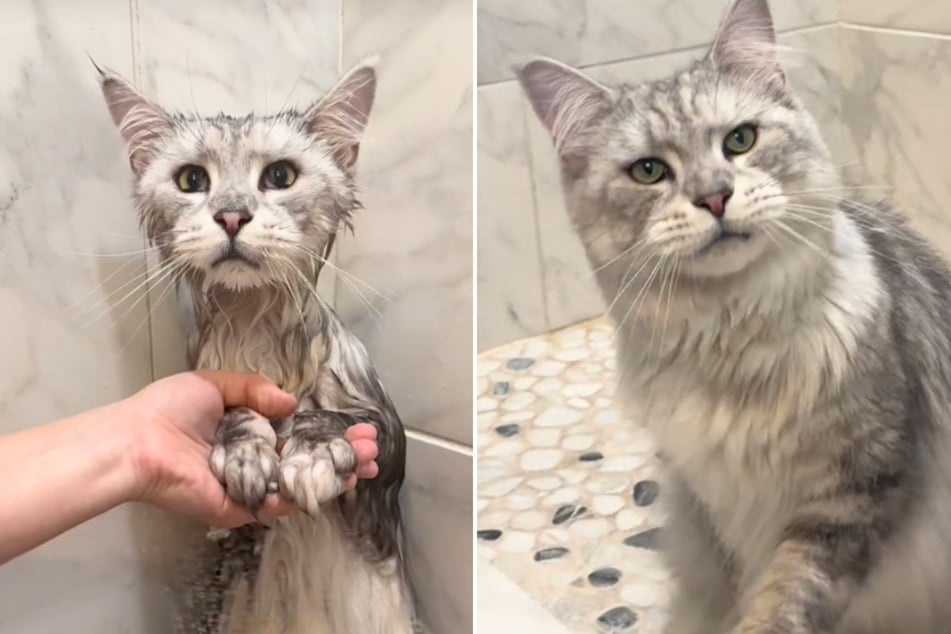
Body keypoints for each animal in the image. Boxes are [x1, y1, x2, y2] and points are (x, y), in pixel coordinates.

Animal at [97, 59, 420, 632]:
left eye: (280, 177)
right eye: (192, 180)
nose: (230, 215)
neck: (257, 335)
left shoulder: (384, 466)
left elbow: (338, 418)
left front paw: (313, 452)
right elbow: (236, 410)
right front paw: (245, 451)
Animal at [520, 1, 951, 632]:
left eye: (740, 140)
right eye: (649, 171)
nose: (714, 196)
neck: (734, 340)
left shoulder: (852, 490)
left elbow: (784, 598)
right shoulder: (716, 506)